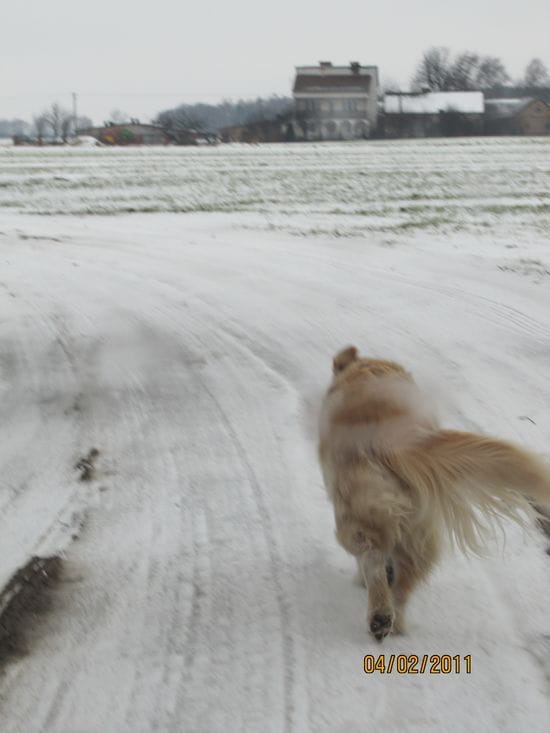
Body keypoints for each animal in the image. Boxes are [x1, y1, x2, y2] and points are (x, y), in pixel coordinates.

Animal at [320, 346, 550, 636]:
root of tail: (390, 439)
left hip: (359, 514)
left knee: (372, 559)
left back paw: (379, 614)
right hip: (421, 528)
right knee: (403, 586)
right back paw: (395, 624)